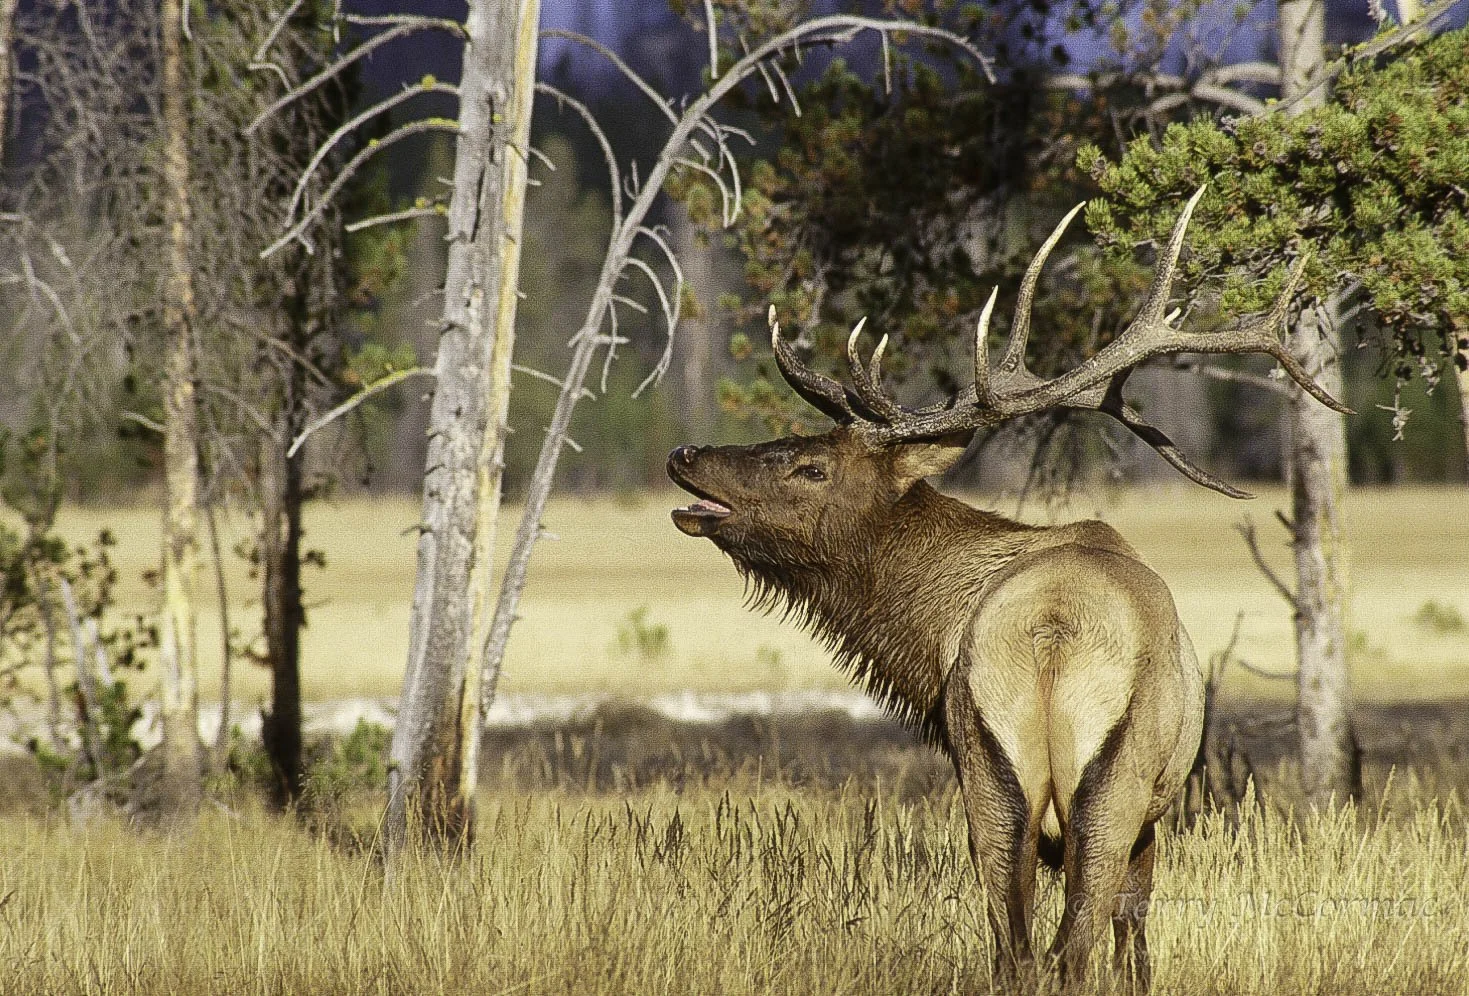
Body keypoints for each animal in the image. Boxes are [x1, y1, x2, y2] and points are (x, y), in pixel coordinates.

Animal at [667, 189, 1348, 992]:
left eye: (810, 464)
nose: (685, 454)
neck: (928, 637)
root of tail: (1050, 635)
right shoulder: (1149, 814)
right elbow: (1134, 942)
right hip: (1101, 793)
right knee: (1066, 951)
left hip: (994, 784)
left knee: (1019, 952)